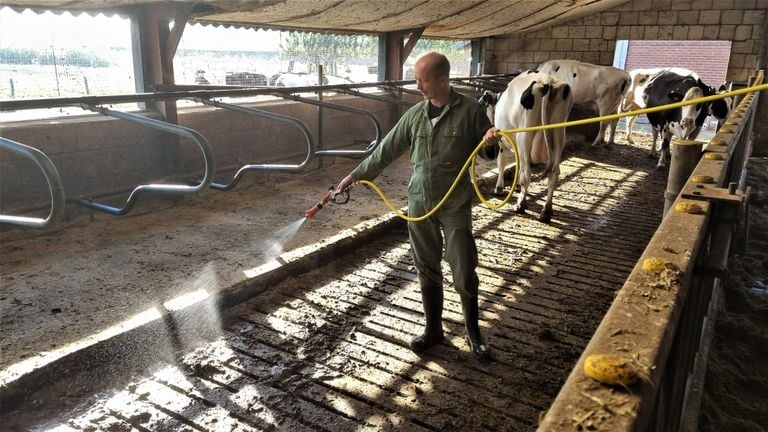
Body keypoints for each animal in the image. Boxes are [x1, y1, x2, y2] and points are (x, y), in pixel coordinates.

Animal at [484, 71, 572, 223]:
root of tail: (547, 80)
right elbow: (518, 164)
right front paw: (518, 187)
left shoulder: (502, 141)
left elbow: (502, 163)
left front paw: (499, 188)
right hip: (559, 133)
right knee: (554, 173)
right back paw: (546, 211)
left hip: (524, 136)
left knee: (527, 173)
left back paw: (520, 205)